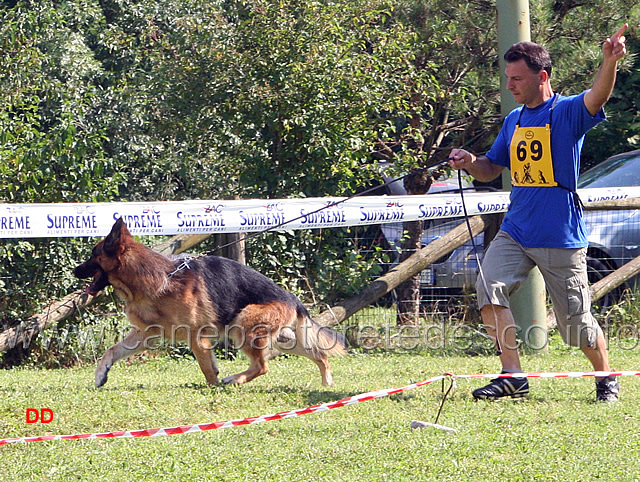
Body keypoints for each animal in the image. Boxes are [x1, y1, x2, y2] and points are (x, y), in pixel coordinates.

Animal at [73, 218, 348, 388]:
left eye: (93, 256)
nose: (75, 271)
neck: (159, 278)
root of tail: (292, 298)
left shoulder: (196, 335)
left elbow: (206, 367)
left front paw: (213, 386)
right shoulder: (144, 334)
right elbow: (112, 350)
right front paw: (100, 375)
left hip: (243, 325)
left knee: (262, 366)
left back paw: (234, 380)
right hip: (283, 338)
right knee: (319, 354)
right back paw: (327, 382)